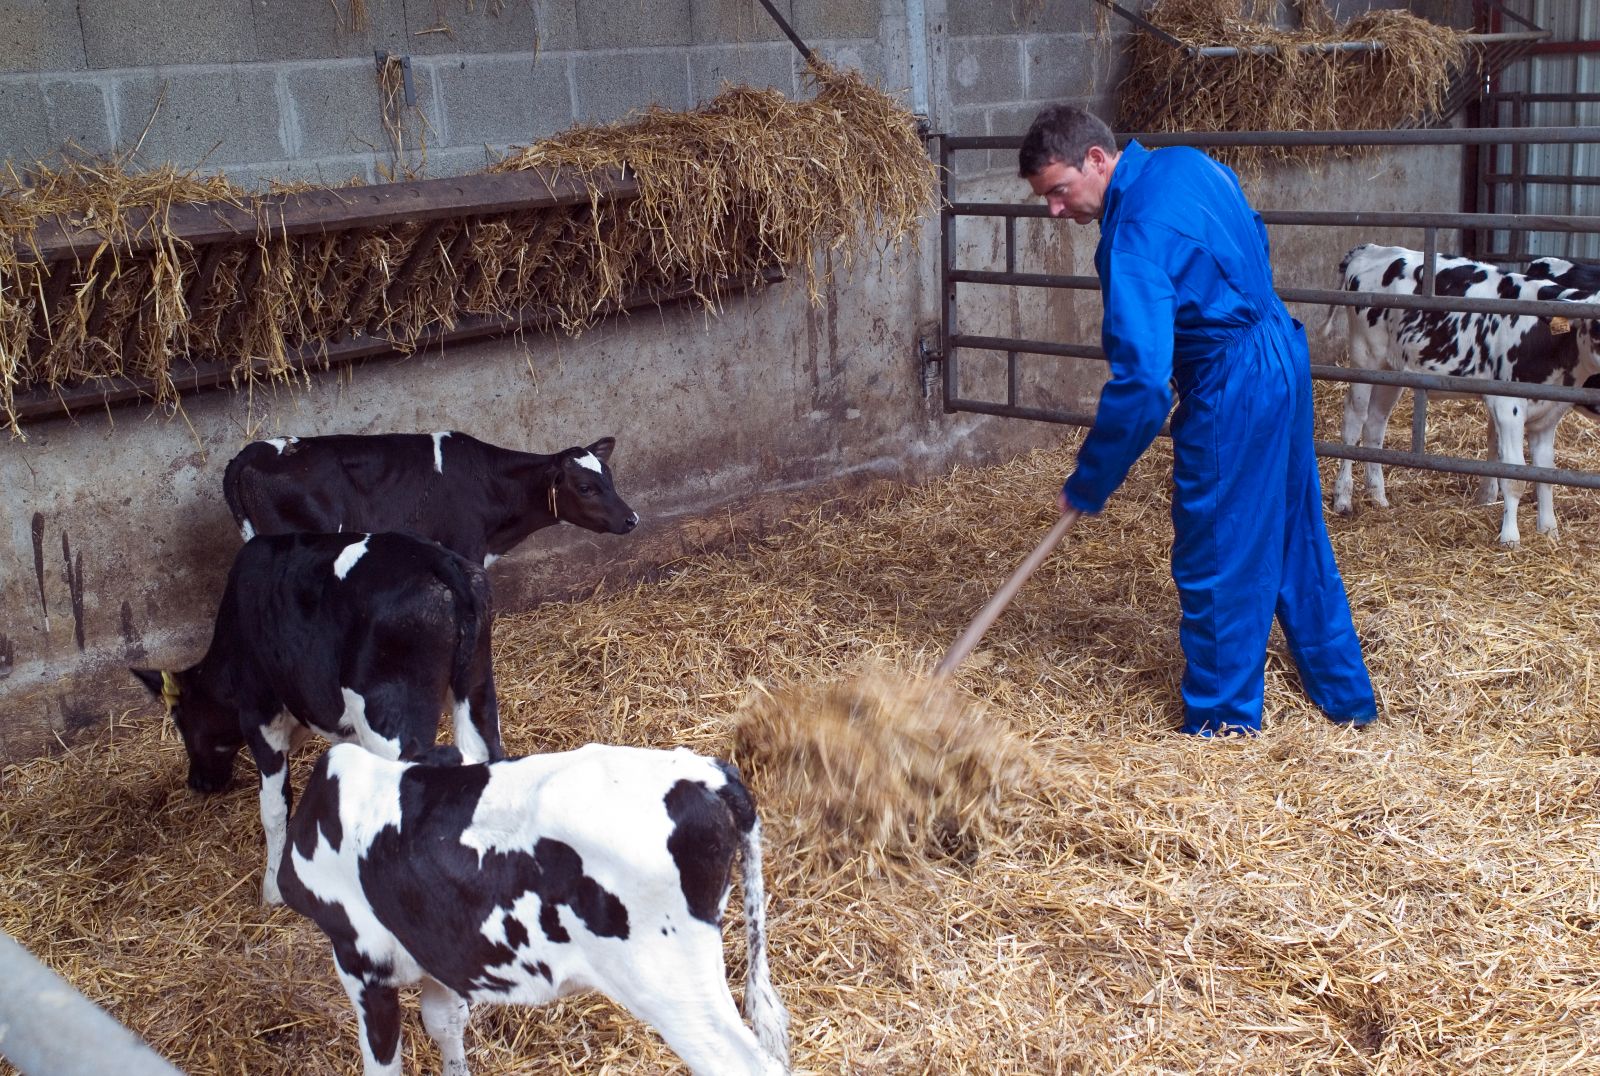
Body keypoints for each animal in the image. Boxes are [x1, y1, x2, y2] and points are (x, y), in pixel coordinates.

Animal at [135, 534, 502, 903]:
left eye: (180, 721)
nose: (197, 782)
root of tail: (434, 559)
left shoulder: (259, 717)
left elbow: (274, 806)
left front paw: (274, 889)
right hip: (476, 688)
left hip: (386, 713)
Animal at [286, 742, 793, 1076]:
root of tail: (703, 772)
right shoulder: (438, 950)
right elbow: (444, 1022)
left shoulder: (359, 962)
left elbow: (383, 1060)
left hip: (675, 990)